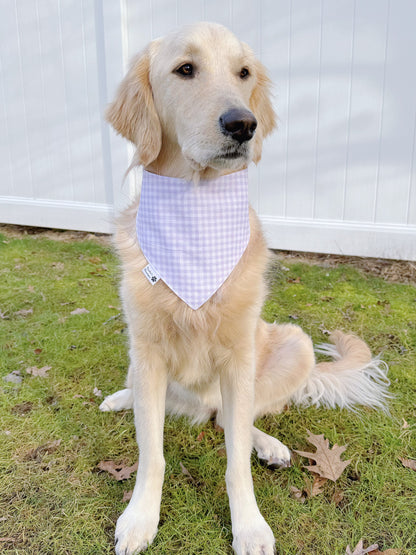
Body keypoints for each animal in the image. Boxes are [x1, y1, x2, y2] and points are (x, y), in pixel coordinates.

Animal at [99, 21, 388, 555]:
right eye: (185, 69)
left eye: (244, 73)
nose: (243, 125)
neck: (197, 216)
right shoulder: (147, 350)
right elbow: (152, 453)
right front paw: (140, 518)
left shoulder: (238, 357)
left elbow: (235, 461)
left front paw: (249, 526)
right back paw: (122, 398)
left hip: (292, 344)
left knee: (233, 418)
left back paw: (267, 443)